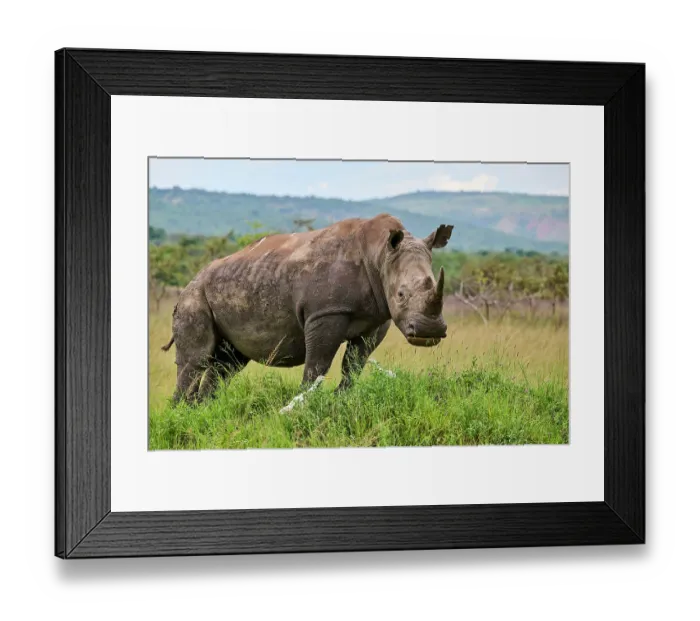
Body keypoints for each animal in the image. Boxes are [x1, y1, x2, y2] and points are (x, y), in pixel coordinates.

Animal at [162, 213, 454, 402]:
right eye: (401, 295)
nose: (429, 331)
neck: (380, 254)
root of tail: (193, 279)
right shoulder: (326, 312)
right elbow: (318, 363)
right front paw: (304, 402)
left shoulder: (377, 319)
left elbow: (354, 363)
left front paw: (342, 399)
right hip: (193, 296)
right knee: (196, 360)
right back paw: (183, 412)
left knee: (228, 363)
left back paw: (205, 409)